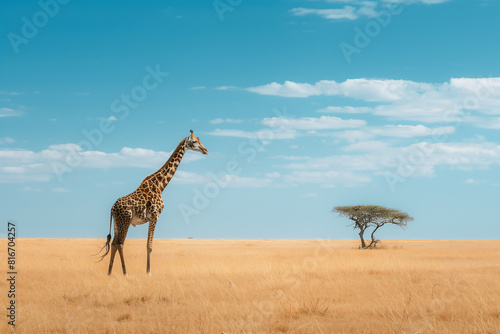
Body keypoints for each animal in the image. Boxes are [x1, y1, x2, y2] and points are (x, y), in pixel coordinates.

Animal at [97, 129, 209, 276]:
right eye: (195, 141)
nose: (205, 150)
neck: (161, 186)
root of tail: (112, 208)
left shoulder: (151, 218)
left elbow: (148, 245)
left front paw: (147, 271)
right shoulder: (155, 216)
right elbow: (149, 245)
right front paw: (148, 272)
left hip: (117, 222)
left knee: (114, 243)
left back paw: (110, 273)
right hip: (125, 220)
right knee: (120, 243)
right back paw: (125, 273)